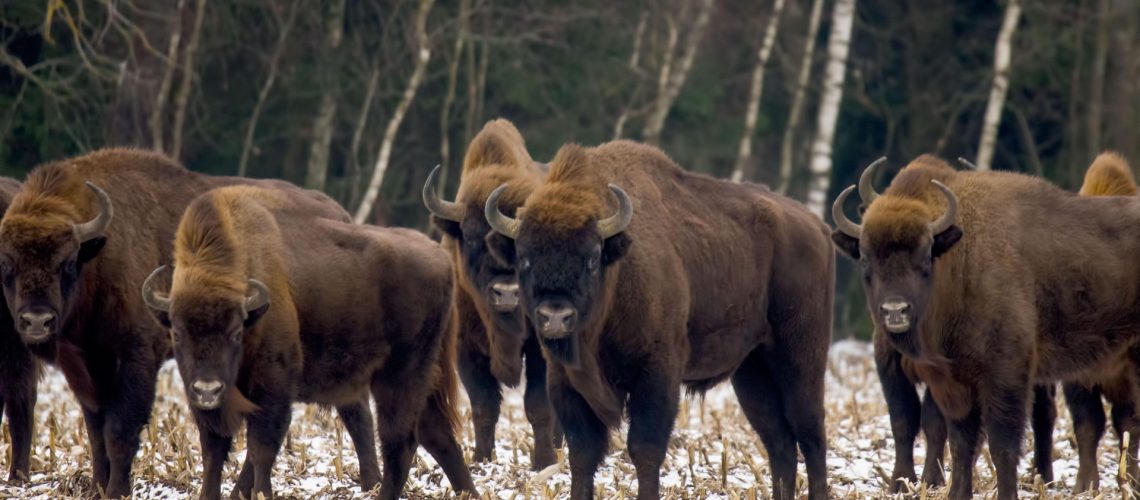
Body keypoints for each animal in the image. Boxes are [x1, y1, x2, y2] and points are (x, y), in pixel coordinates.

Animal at [423, 119, 561, 468]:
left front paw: (543, 462)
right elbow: (483, 406)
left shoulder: (540, 348)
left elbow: (538, 405)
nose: (507, 293)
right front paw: (481, 460)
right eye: (471, 236)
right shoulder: (467, 349)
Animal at [484, 140, 834, 499]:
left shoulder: (657, 374)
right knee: (779, 442)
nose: (555, 316)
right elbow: (582, 453)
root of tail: (817, 227)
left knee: (811, 432)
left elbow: (645, 448)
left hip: (800, 357)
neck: (619, 271)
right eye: (524, 258)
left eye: (592, 258)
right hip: (752, 369)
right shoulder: (566, 381)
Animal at [831, 154, 1140, 499]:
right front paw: (948, 491)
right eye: (865, 257)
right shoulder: (949, 380)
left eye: (925, 254)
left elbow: (1001, 444)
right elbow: (956, 441)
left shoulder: (1005, 375)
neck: (960, 261)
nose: (895, 311)